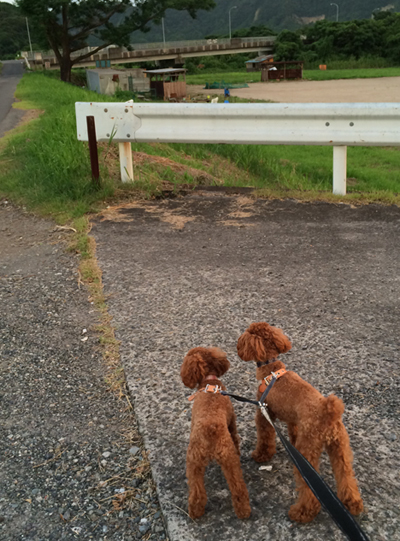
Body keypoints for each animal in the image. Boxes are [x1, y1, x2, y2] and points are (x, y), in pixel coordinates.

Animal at [181, 346, 251, 519]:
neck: (209, 381)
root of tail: (209, 429)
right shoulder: (232, 421)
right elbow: (236, 437)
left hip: (194, 462)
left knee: (197, 492)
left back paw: (195, 512)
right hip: (227, 458)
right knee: (238, 488)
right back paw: (244, 511)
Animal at [237, 322, 363, 523]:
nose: (237, 349)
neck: (271, 370)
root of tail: (328, 411)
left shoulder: (264, 413)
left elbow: (265, 437)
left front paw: (261, 455)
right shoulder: (293, 420)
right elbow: (293, 432)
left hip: (308, 452)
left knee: (309, 491)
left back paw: (301, 512)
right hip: (340, 447)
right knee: (346, 475)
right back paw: (353, 504)